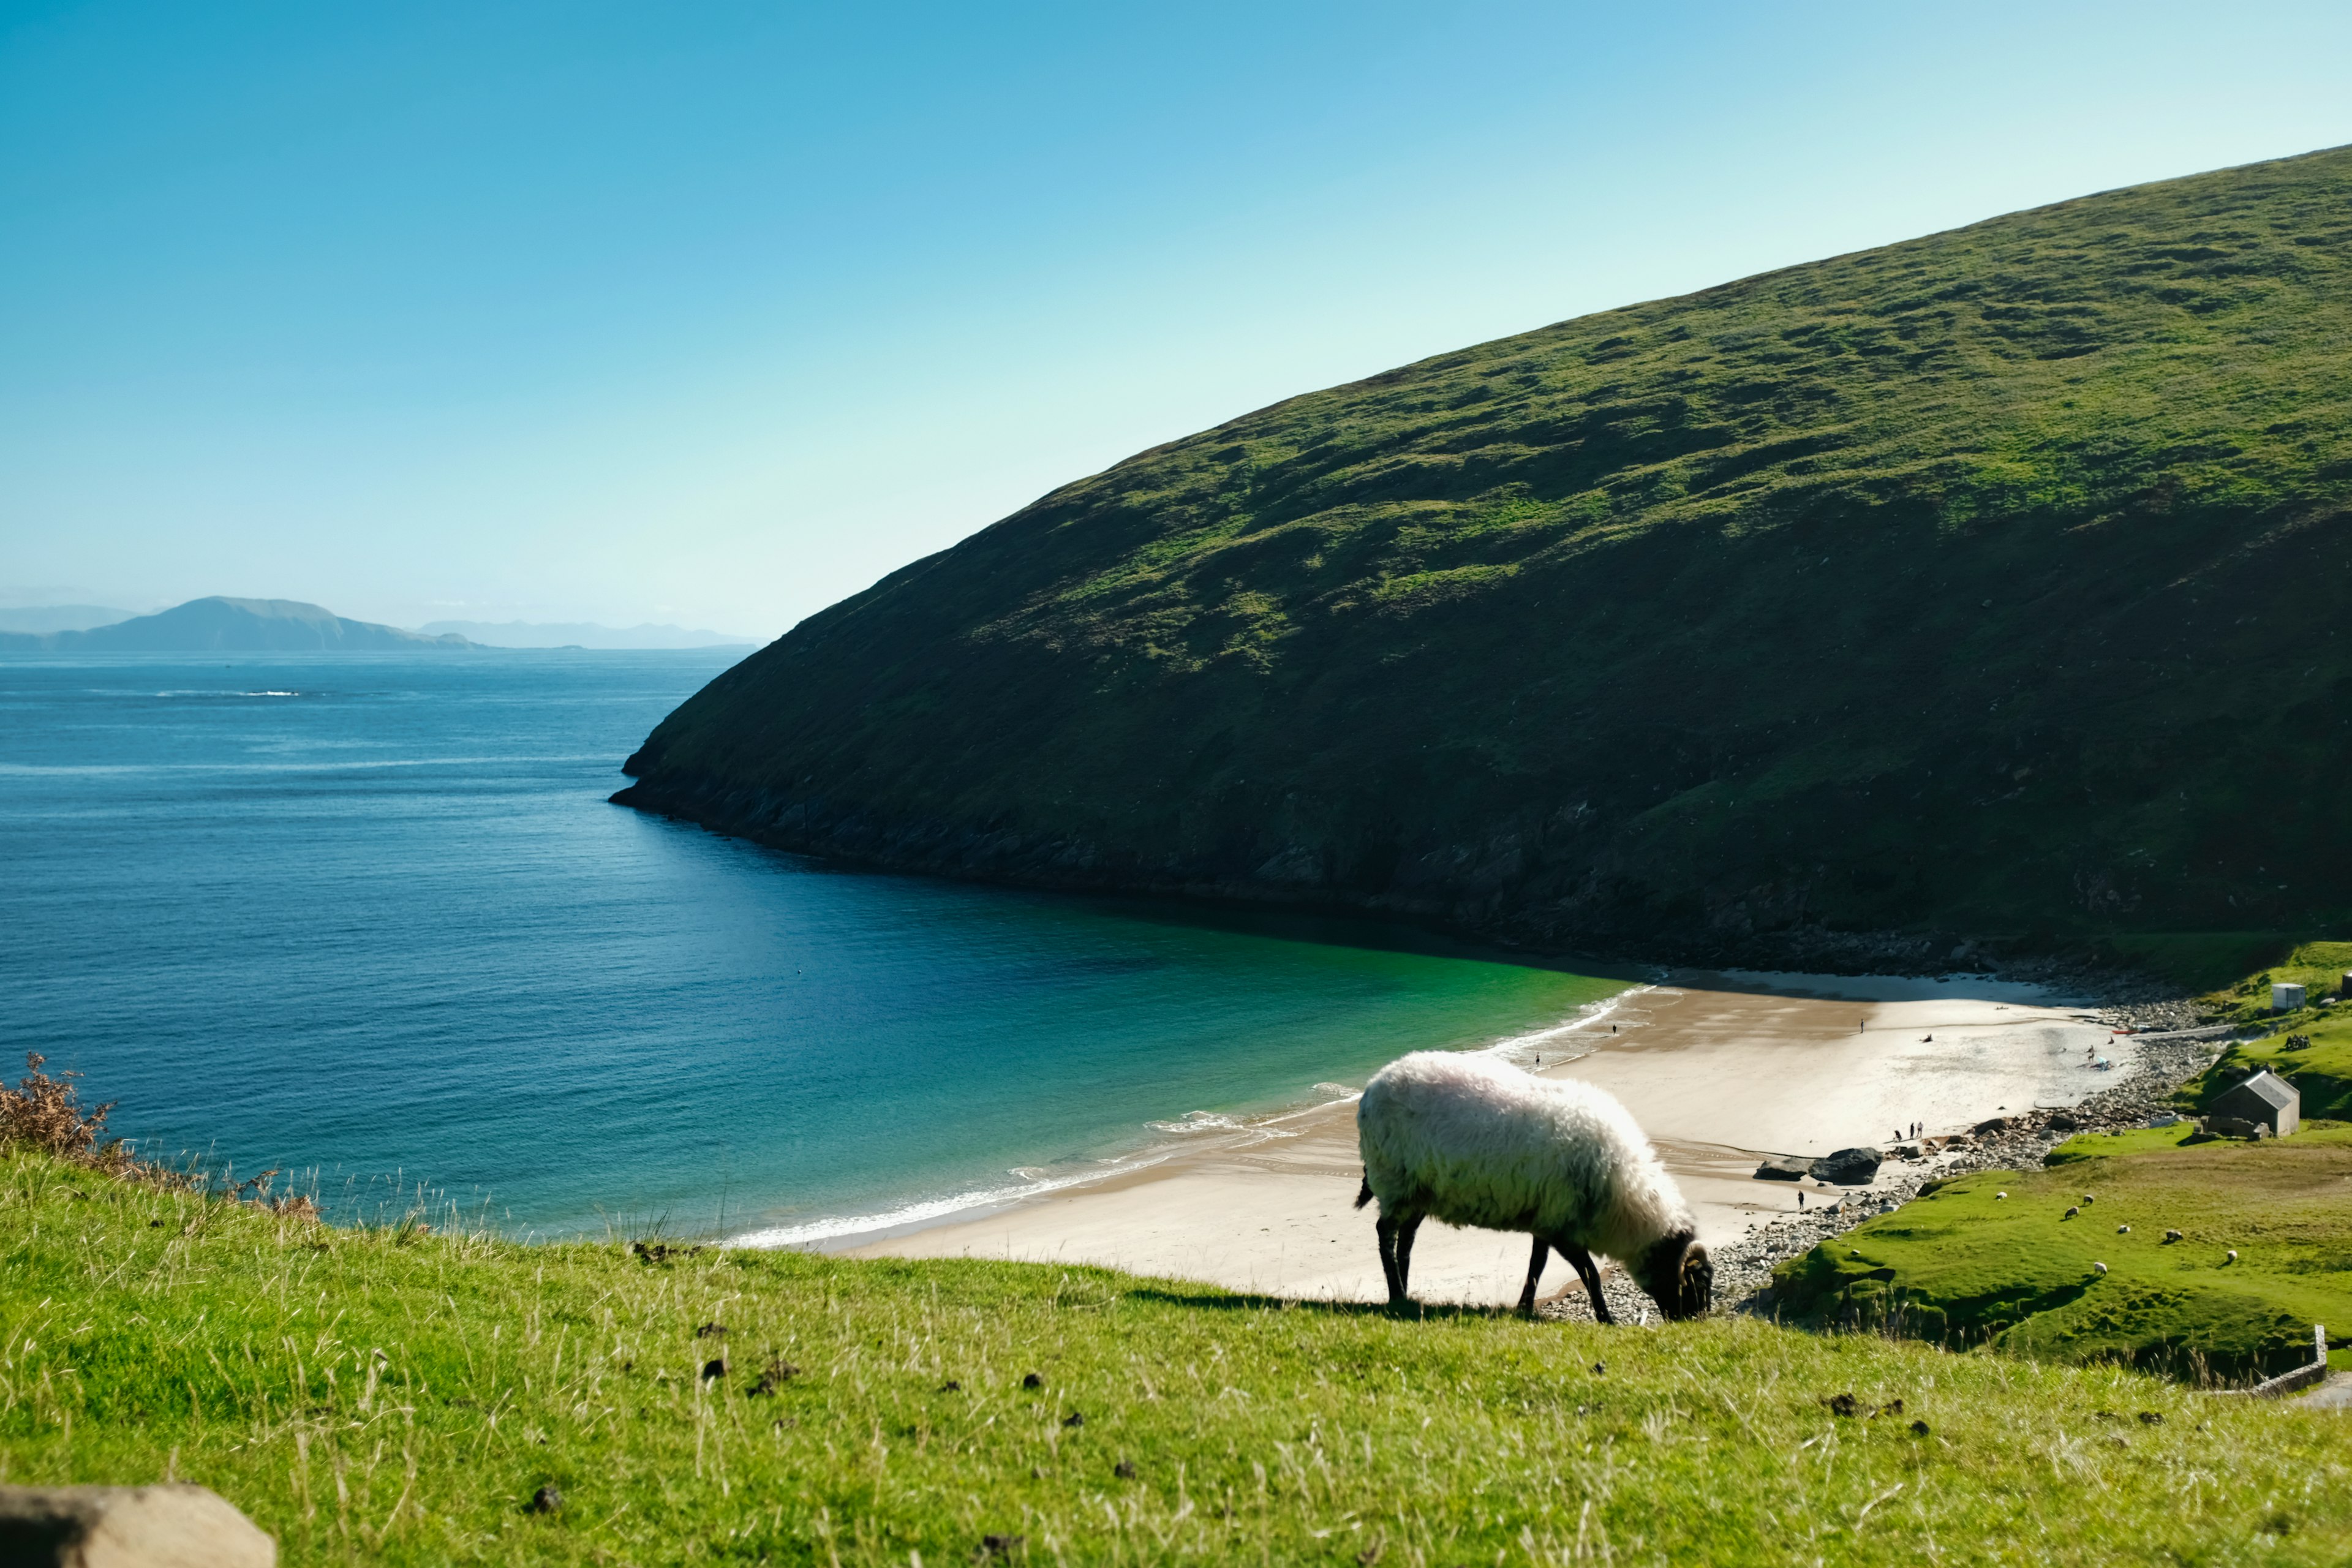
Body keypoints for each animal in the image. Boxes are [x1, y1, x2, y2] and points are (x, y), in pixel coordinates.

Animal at [1364, 1053, 1712, 1325]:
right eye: (1698, 1283)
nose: (1694, 1324)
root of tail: (1372, 1086)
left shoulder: (1547, 1219)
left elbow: (1537, 1265)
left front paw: (1525, 1308)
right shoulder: (1563, 1227)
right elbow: (1590, 1274)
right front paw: (1606, 1319)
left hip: (1418, 1191)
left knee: (1406, 1241)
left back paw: (1405, 1296)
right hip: (1394, 1182)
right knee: (1385, 1235)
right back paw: (1396, 1294)